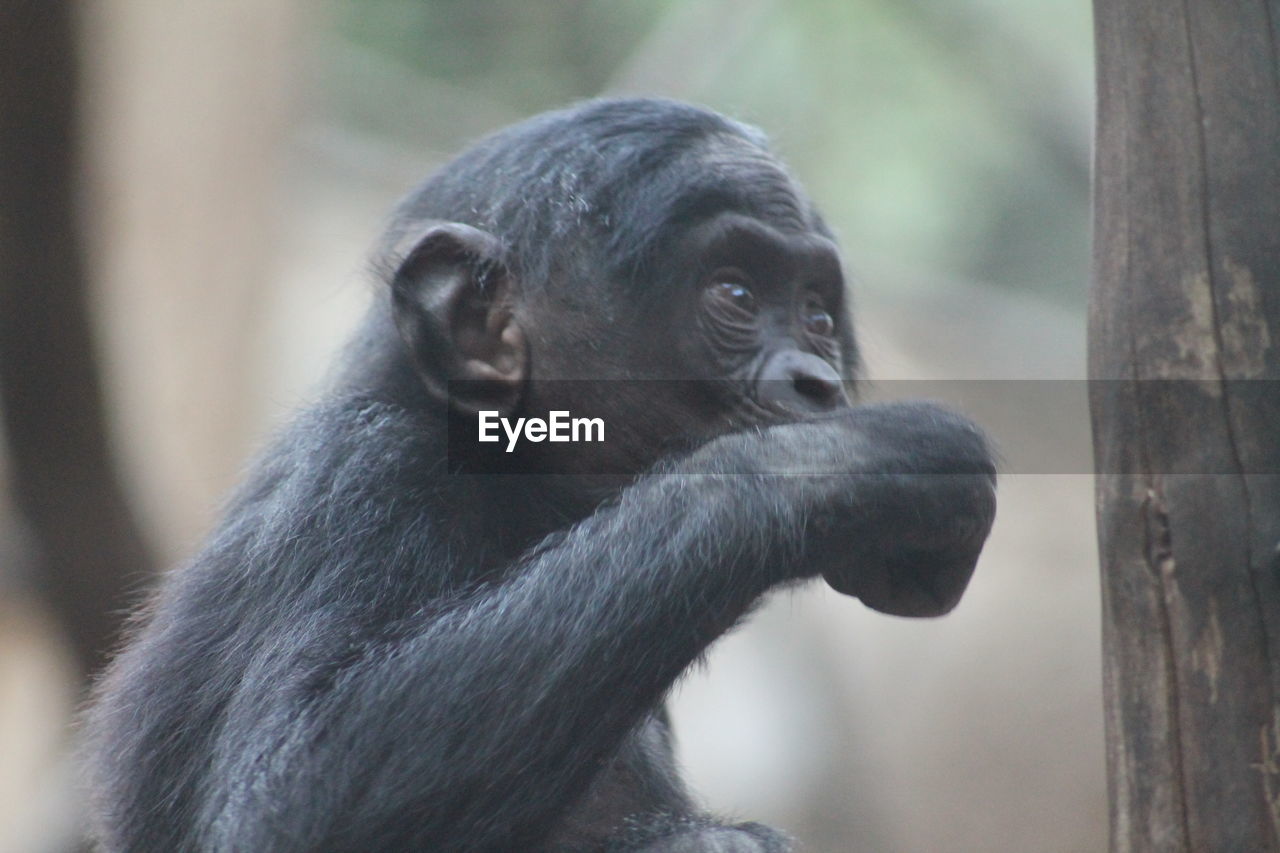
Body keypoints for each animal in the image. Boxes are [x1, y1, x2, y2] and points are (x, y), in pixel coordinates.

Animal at [82, 101, 998, 850]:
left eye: (815, 311)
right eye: (736, 292)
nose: (816, 379)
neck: (509, 485)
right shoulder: (359, 483)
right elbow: (287, 791)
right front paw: (862, 461)